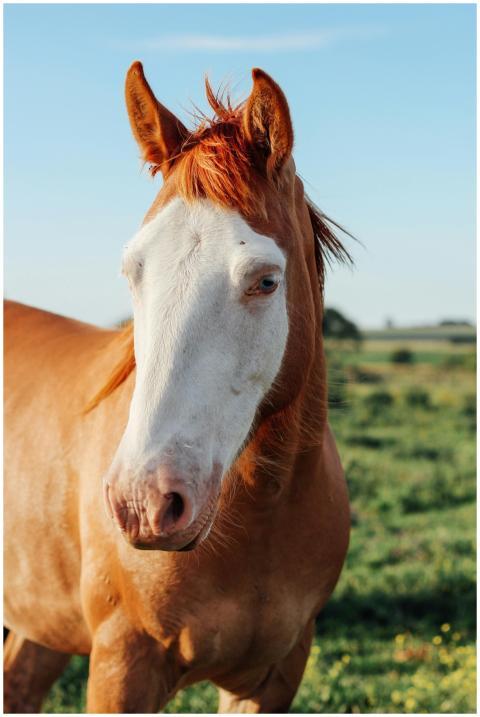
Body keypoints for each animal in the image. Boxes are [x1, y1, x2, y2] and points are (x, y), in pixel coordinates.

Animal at [4, 63, 350, 713]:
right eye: (131, 271)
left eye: (266, 281)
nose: (144, 503)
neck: (259, 520)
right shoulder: (122, 667)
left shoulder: (276, 676)